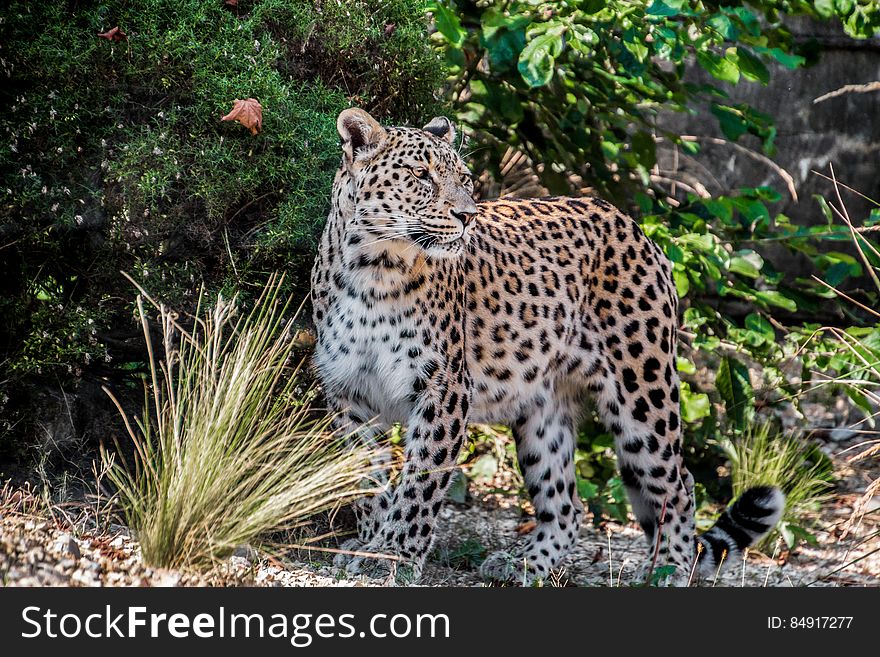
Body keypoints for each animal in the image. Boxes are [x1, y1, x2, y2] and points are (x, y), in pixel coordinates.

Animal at [312, 107, 784, 584]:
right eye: (420, 175)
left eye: (464, 178)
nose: (467, 215)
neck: (374, 268)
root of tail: (633, 225)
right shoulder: (348, 391)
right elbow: (362, 480)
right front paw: (369, 543)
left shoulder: (443, 389)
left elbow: (421, 480)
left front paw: (394, 555)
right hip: (543, 409)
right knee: (567, 505)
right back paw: (523, 562)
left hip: (643, 395)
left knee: (679, 485)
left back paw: (668, 568)